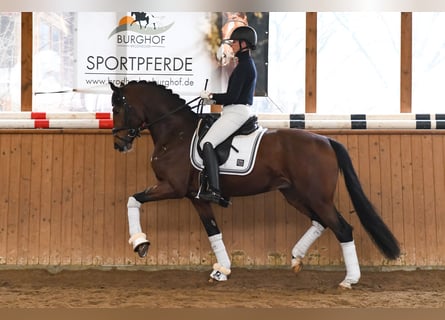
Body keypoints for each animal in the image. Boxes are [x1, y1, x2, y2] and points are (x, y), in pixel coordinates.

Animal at [110, 79, 398, 288]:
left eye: (119, 108)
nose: (119, 144)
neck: (176, 133)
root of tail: (326, 140)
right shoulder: (196, 196)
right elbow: (213, 231)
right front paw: (222, 270)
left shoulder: (173, 187)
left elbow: (133, 199)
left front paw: (140, 244)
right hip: (295, 195)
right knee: (320, 222)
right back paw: (296, 257)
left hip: (317, 197)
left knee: (343, 228)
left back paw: (349, 279)